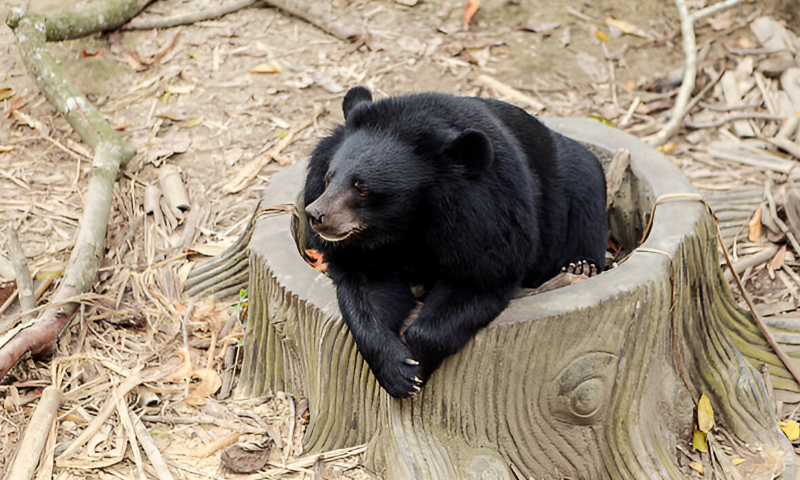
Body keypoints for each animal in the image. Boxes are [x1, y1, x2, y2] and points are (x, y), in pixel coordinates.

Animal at [304, 86, 604, 398]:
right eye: (329, 178)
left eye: (362, 189)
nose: (315, 214)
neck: (408, 222)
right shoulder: (365, 249)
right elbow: (367, 291)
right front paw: (399, 371)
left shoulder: (491, 222)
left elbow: (476, 282)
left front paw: (418, 363)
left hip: (577, 178)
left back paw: (581, 266)